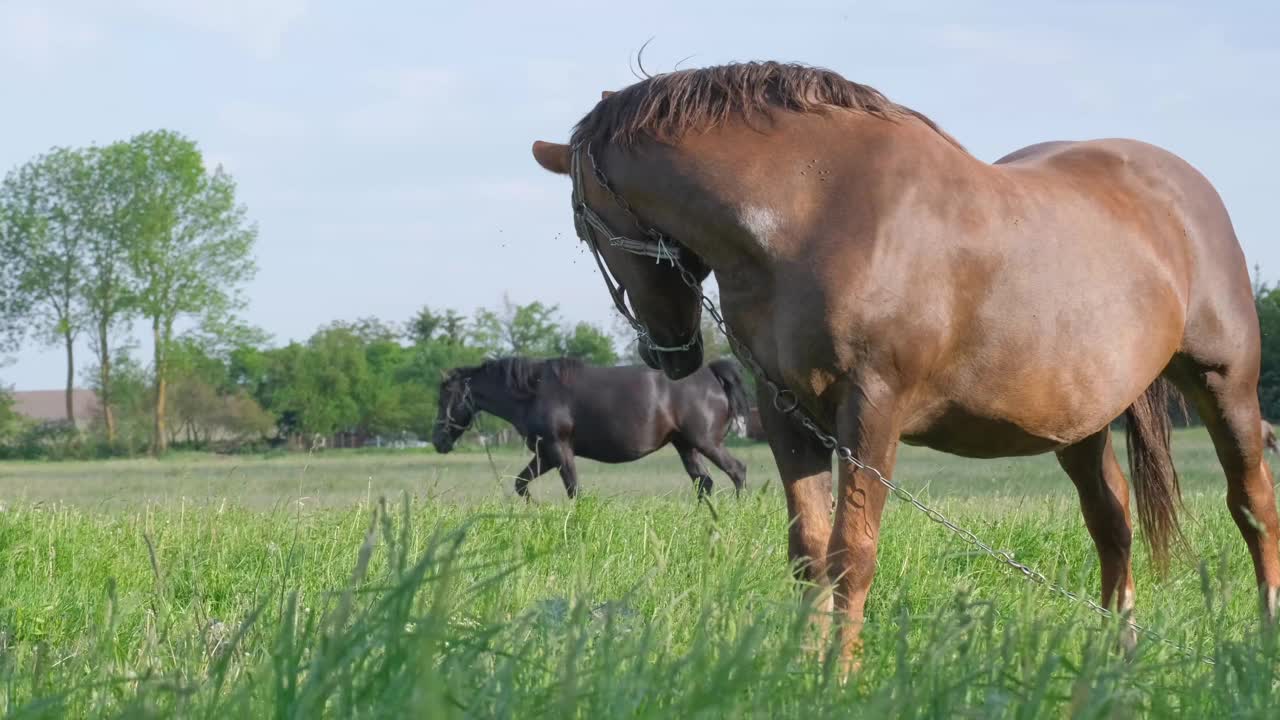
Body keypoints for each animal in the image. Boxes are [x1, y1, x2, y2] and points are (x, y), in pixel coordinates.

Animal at [430, 353, 747, 499]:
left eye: (445, 398)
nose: (437, 441)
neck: (534, 392)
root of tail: (711, 374)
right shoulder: (544, 453)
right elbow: (521, 484)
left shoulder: (559, 449)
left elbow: (574, 490)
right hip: (685, 445)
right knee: (704, 483)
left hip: (706, 442)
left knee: (737, 471)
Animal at [524, 61, 1274, 661]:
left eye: (583, 226)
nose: (667, 353)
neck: (818, 209)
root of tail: (1185, 188)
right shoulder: (787, 413)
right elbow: (808, 553)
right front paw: (799, 670)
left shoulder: (873, 409)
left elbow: (851, 555)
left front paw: (839, 676)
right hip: (1080, 422)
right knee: (1112, 527)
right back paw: (1115, 658)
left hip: (1225, 385)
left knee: (1252, 506)